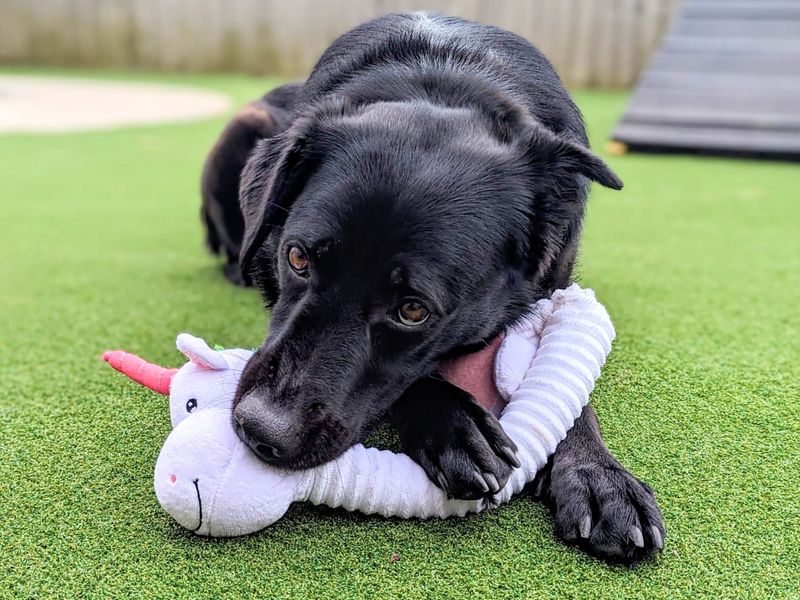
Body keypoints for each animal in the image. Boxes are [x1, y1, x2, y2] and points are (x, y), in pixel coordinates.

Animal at [203, 15, 664, 568]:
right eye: (297, 259)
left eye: (413, 310)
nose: (260, 430)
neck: (444, 79)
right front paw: (455, 424)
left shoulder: (557, 281)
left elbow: (569, 384)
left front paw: (598, 476)